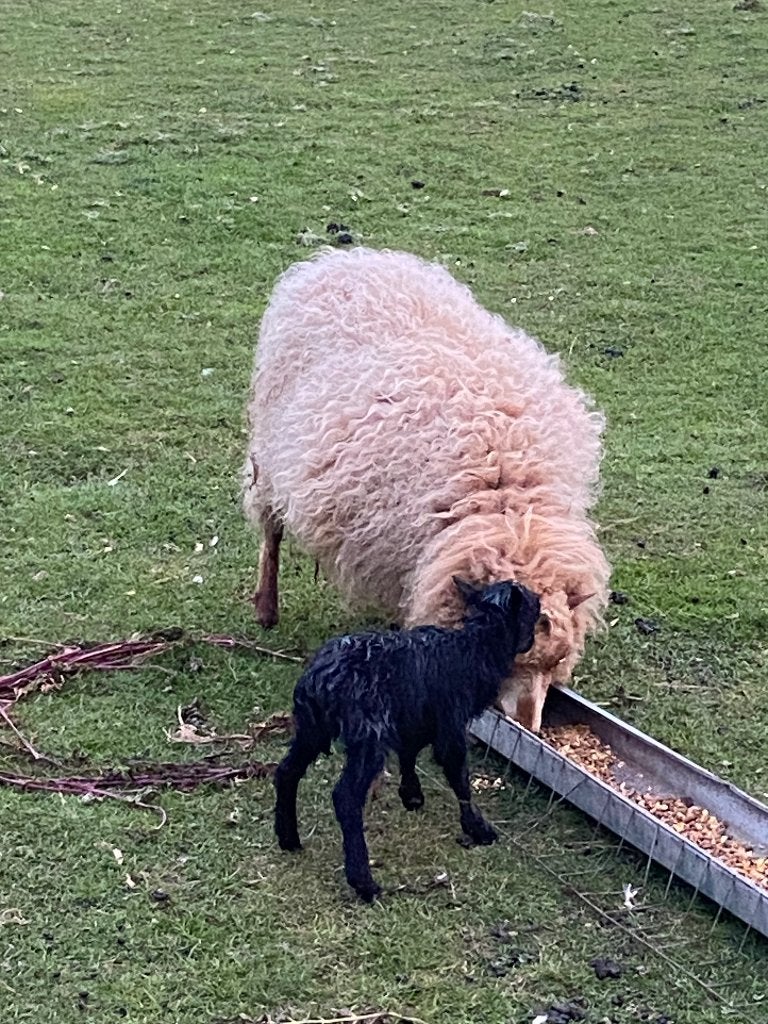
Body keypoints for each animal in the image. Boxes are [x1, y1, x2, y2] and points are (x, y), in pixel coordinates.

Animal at [243, 246, 610, 733]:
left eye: (556, 663)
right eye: (508, 658)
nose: (529, 727)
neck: (509, 505)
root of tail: (346, 258)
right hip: (269, 449)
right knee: (271, 529)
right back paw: (266, 607)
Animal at [274, 577, 541, 902]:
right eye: (536, 610)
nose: (531, 644)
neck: (474, 646)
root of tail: (318, 679)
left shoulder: (416, 714)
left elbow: (410, 751)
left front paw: (411, 794)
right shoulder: (451, 724)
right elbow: (459, 778)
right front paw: (478, 828)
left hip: (312, 729)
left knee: (286, 772)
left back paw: (288, 838)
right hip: (367, 735)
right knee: (346, 797)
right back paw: (364, 882)